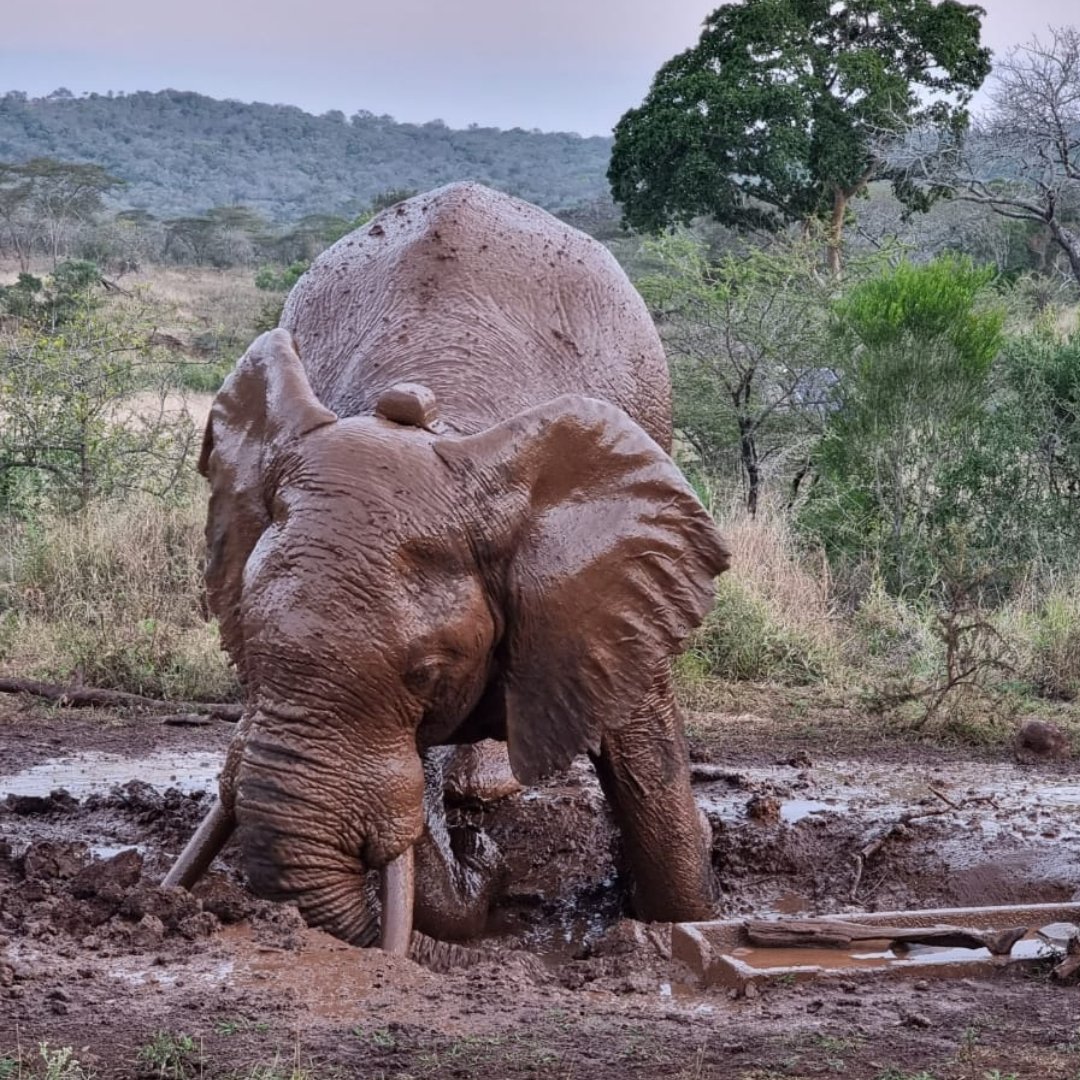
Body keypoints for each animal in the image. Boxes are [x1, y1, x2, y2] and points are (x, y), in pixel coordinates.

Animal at [164, 182, 731, 953]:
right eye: (244, 649)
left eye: (427, 674)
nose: (482, 857)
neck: (438, 412)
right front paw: (469, 860)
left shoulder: (610, 584)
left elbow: (644, 747)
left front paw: (682, 922)